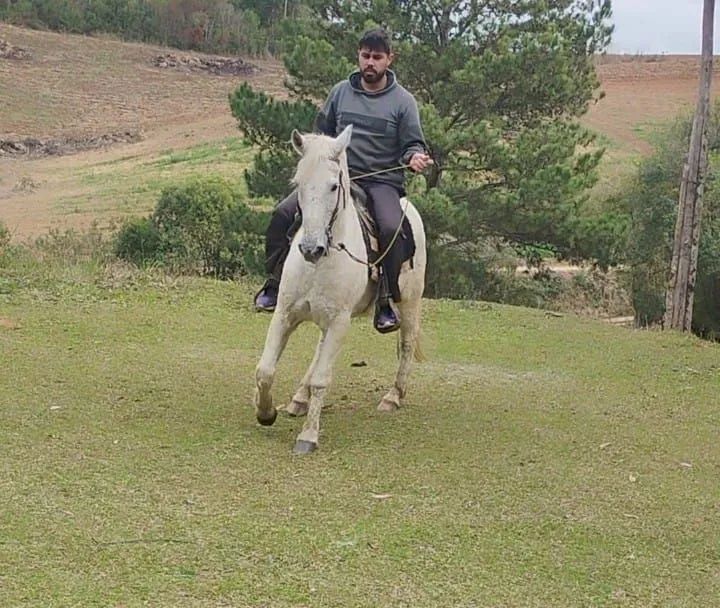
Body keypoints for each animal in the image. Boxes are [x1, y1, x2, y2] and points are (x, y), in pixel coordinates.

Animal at [253, 124, 426, 454]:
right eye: (298, 182)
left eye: (334, 186)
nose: (311, 248)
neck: (319, 264)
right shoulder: (284, 314)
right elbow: (265, 369)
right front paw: (265, 412)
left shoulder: (339, 322)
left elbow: (322, 378)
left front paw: (308, 437)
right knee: (318, 351)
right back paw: (299, 399)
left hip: (409, 303)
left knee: (407, 343)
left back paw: (393, 396)